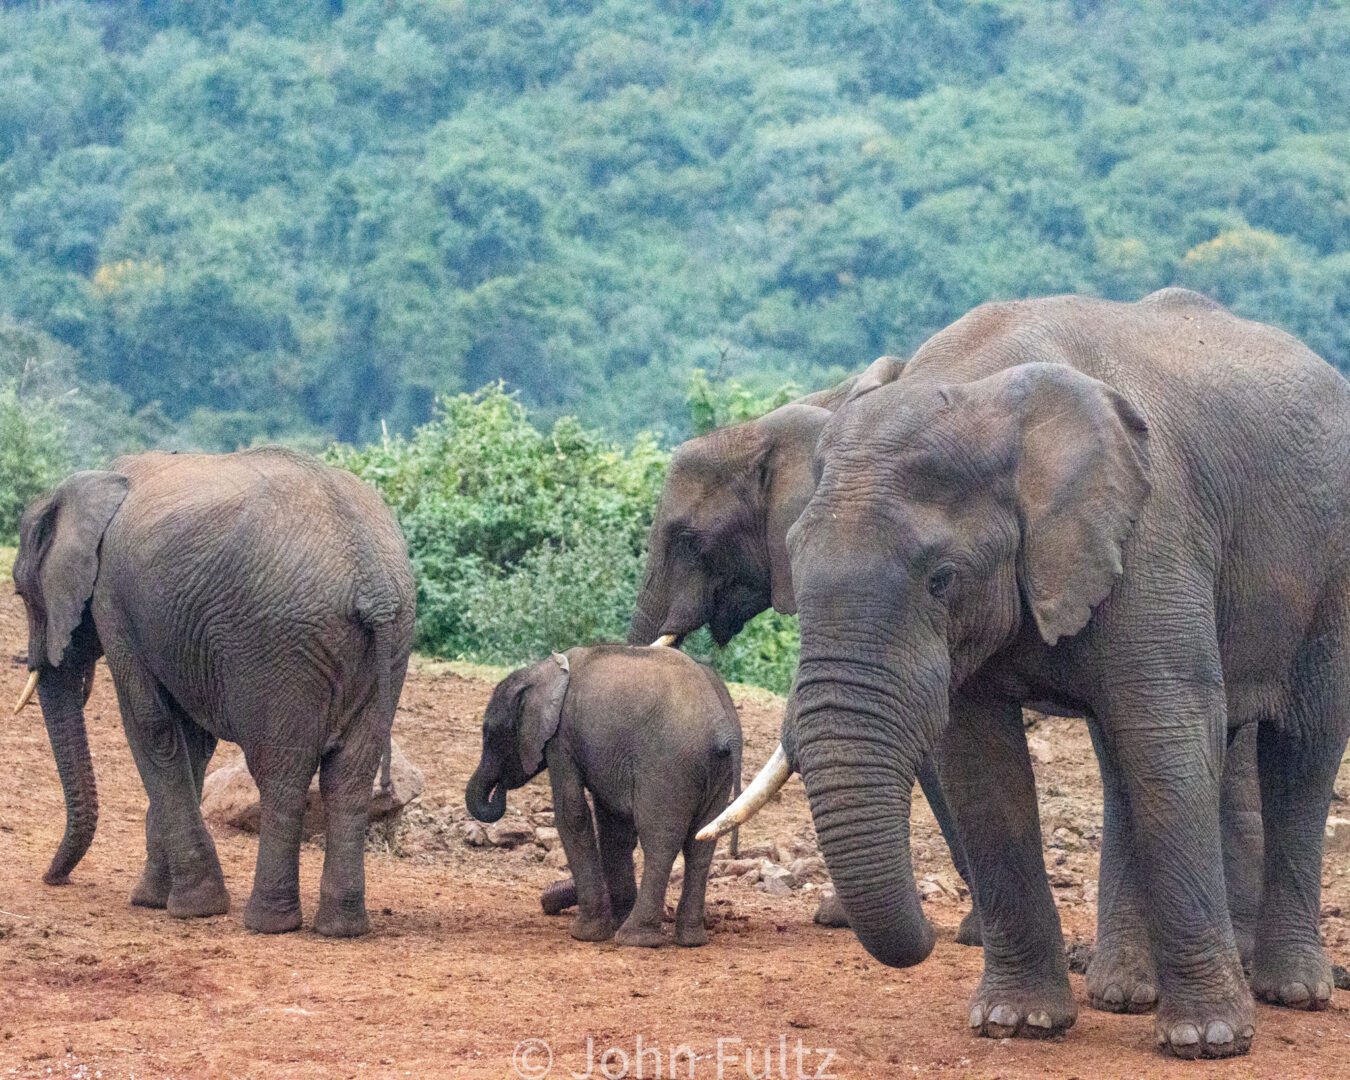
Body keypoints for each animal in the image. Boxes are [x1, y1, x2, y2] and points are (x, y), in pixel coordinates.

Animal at [13, 448, 413, 934]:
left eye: (21, 592)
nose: (54, 879)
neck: (96, 480)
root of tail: (369, 579)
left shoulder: (112, 600)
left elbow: (152, 727)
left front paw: (188, 906)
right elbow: (192, 742)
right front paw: (155, 898)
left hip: (276, 650)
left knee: (281, 771)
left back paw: (268, 923)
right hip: (393, 640)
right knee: (351, 775)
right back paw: (342, 928)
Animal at [464, 642, 739, 945]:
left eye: (490, 734)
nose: (500, 787)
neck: (543, 670)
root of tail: (723, 732)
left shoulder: (561, 737)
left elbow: (572, 813)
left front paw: (586, 934)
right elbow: (613, 827)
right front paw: (614, 920)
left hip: (667, 766)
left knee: (660, 840)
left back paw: (634, 939)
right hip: (716, 773)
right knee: (701, 843)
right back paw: (689, 939)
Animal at [712, 291, 1344, 1058]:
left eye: (942, 579)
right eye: (794, 561)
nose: (934, 936)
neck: (978, 383)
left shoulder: (1155, 532)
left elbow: (1167, 734)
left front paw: (1208, 1041)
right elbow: (982, 766)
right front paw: (1017, 1025)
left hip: (1331, 568)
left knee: (1301, 750)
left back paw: (1293, 994)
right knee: (1124, 757)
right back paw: (1122, 994)